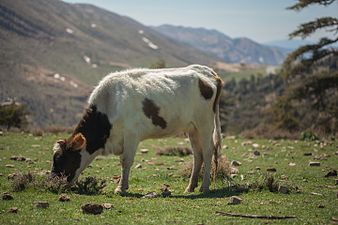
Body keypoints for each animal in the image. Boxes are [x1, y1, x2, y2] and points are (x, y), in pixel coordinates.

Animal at [50, 64, 223, 193]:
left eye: (61, 159)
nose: (51, 184)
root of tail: (207, 71)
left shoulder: (132, 135)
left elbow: (126, 161)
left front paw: (120, 188)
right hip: (193, 128)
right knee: (197, 155)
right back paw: (190, 187)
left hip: (205, 123)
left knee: (208, 152)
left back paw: (204, 186)